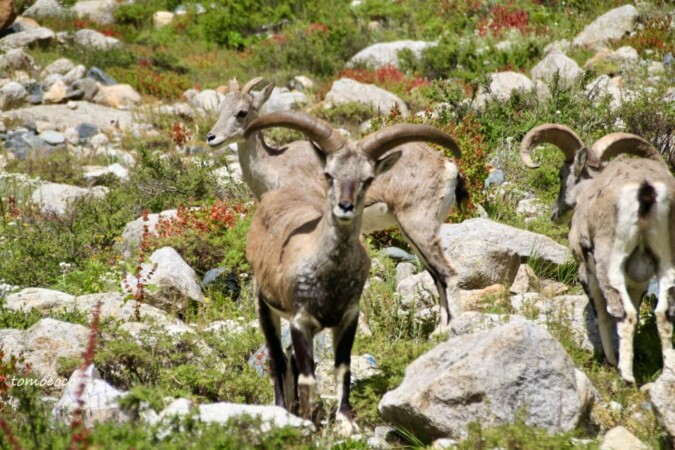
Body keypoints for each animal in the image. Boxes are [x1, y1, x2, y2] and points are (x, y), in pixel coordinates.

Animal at [207, 77, 466, 334]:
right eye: (220, 109)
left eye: (242, 112)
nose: (212, 138)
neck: (276, 166)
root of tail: (448, 167)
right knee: (436, 276)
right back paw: (437, 330)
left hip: (419, 226)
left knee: (449, 274)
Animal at [245, 110, 463, 434]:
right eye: (328, 175)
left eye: (368, 178)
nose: (344, 207)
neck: (329, 275)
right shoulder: (300, 319)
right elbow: (307, 375)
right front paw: (310, 421)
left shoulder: (348, 317)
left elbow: (342, 368)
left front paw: (345, 420)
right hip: (264, 304)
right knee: (278, 359)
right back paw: (285, 409)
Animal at [520, 124, 675, 383]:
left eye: (562, 174)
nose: (555, 214)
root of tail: (646, 190)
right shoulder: (638, 282)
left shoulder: (587, 270)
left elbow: (601, 312)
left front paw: (610, 359)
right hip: (665, 262)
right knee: (664, 312)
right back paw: (668, 372)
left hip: (608, 263)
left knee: (623, 314)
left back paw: (625, 376)